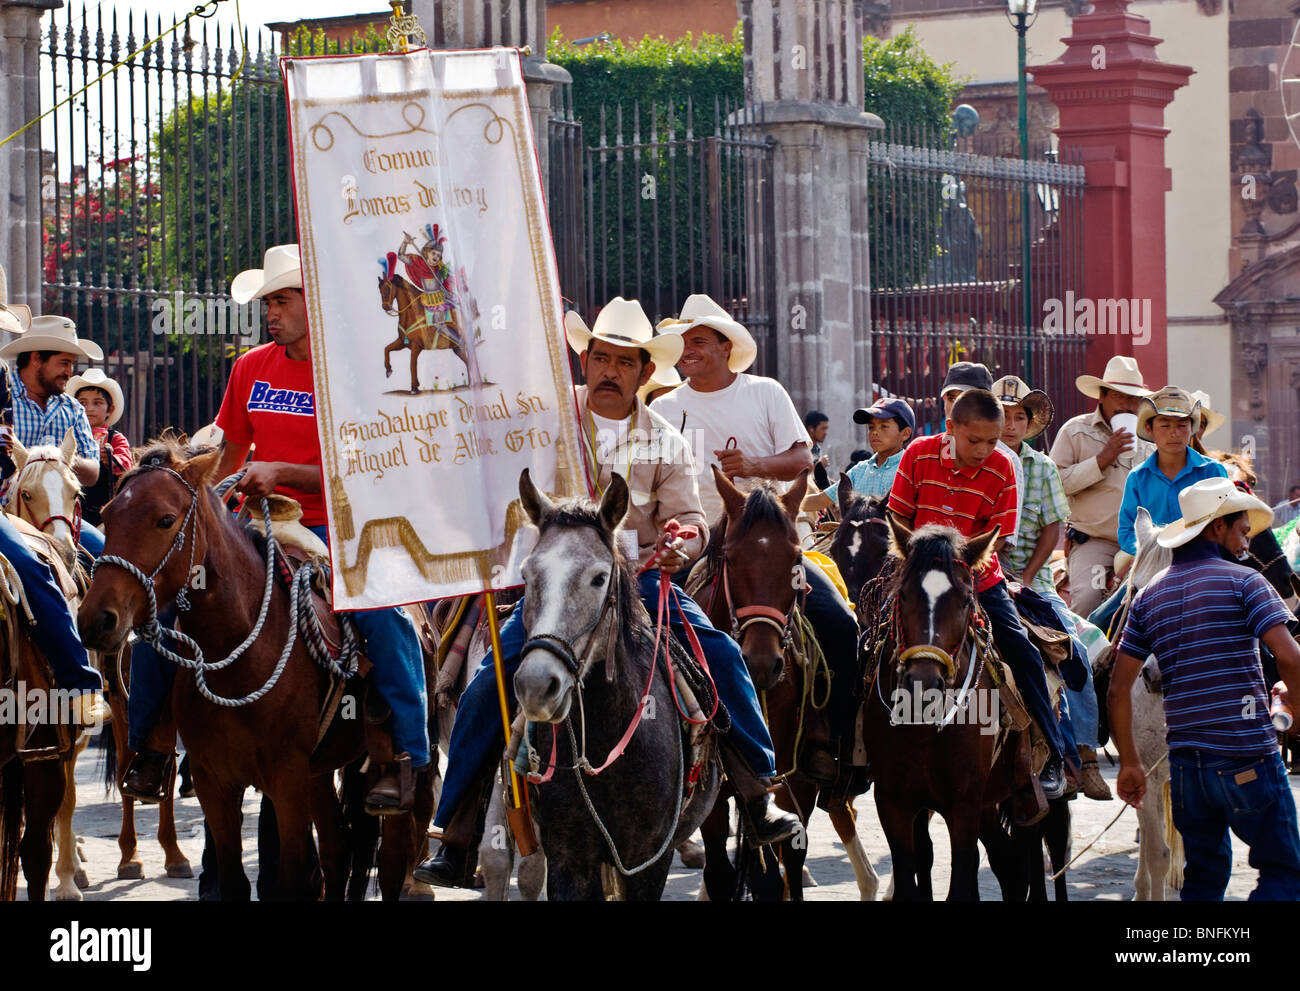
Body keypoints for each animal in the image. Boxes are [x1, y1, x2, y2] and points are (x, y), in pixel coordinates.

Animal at [77, 436, 436, 894]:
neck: (238, 658)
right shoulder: (215, 782)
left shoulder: (286, 781)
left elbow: (293, 875)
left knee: (391, 861)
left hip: (403, 773)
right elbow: (233, 878)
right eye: (107, 515)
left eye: (165, 520)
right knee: (337, 853)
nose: (95, 620)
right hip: (320, 774)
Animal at [696, 468, 878, 899]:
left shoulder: (796, 778)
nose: (761, 662)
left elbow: (788, 861)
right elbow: (721, 870)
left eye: (795, 559)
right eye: (730, 558)